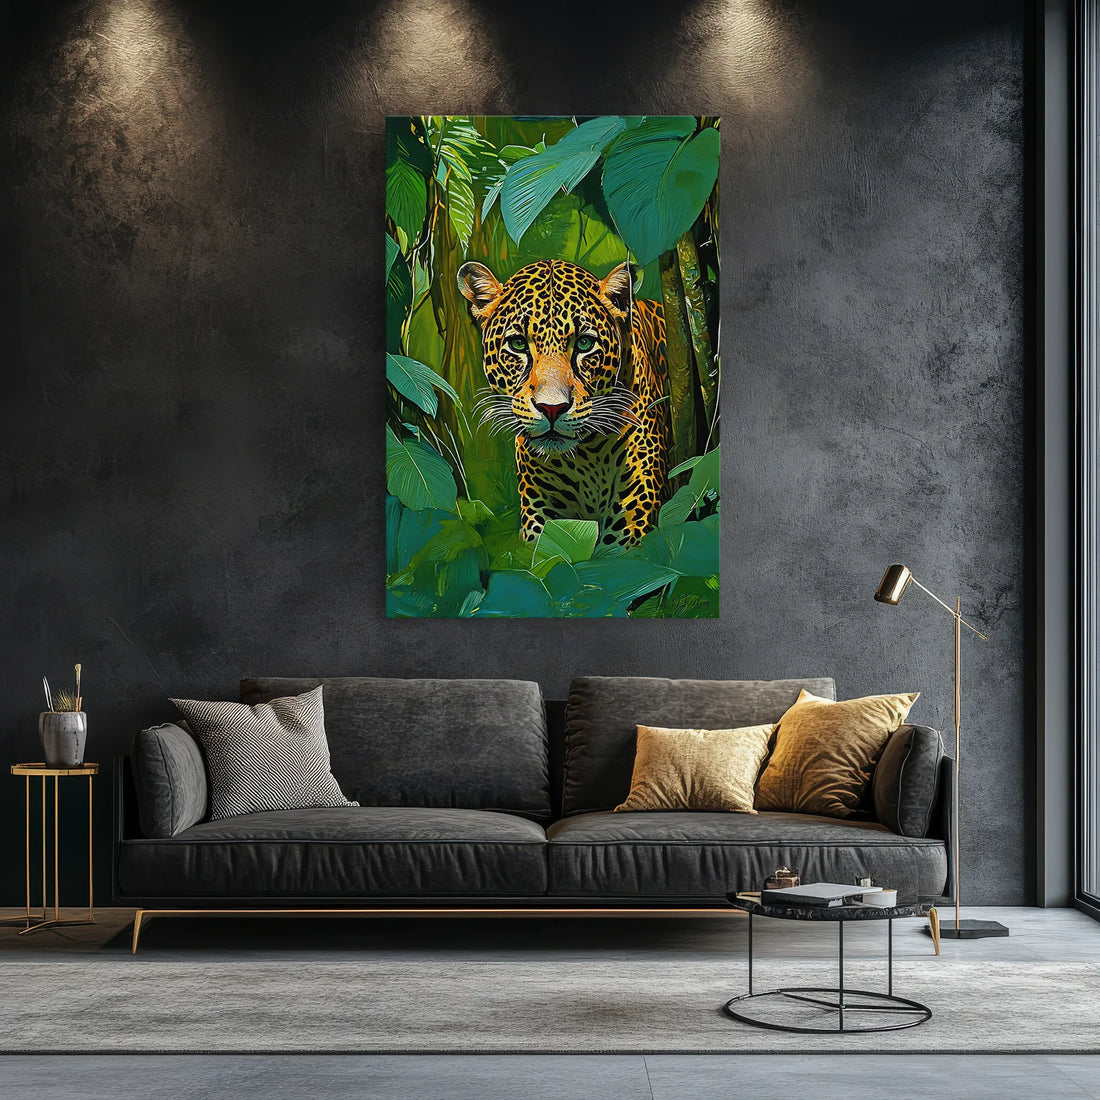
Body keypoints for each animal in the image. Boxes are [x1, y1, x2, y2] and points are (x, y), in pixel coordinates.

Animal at [458, 258, 669, 547]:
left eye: (584, 343)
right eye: (518, 344)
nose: (552, 408)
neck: (587, 457)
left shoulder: (631, 525)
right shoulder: (543, 519)